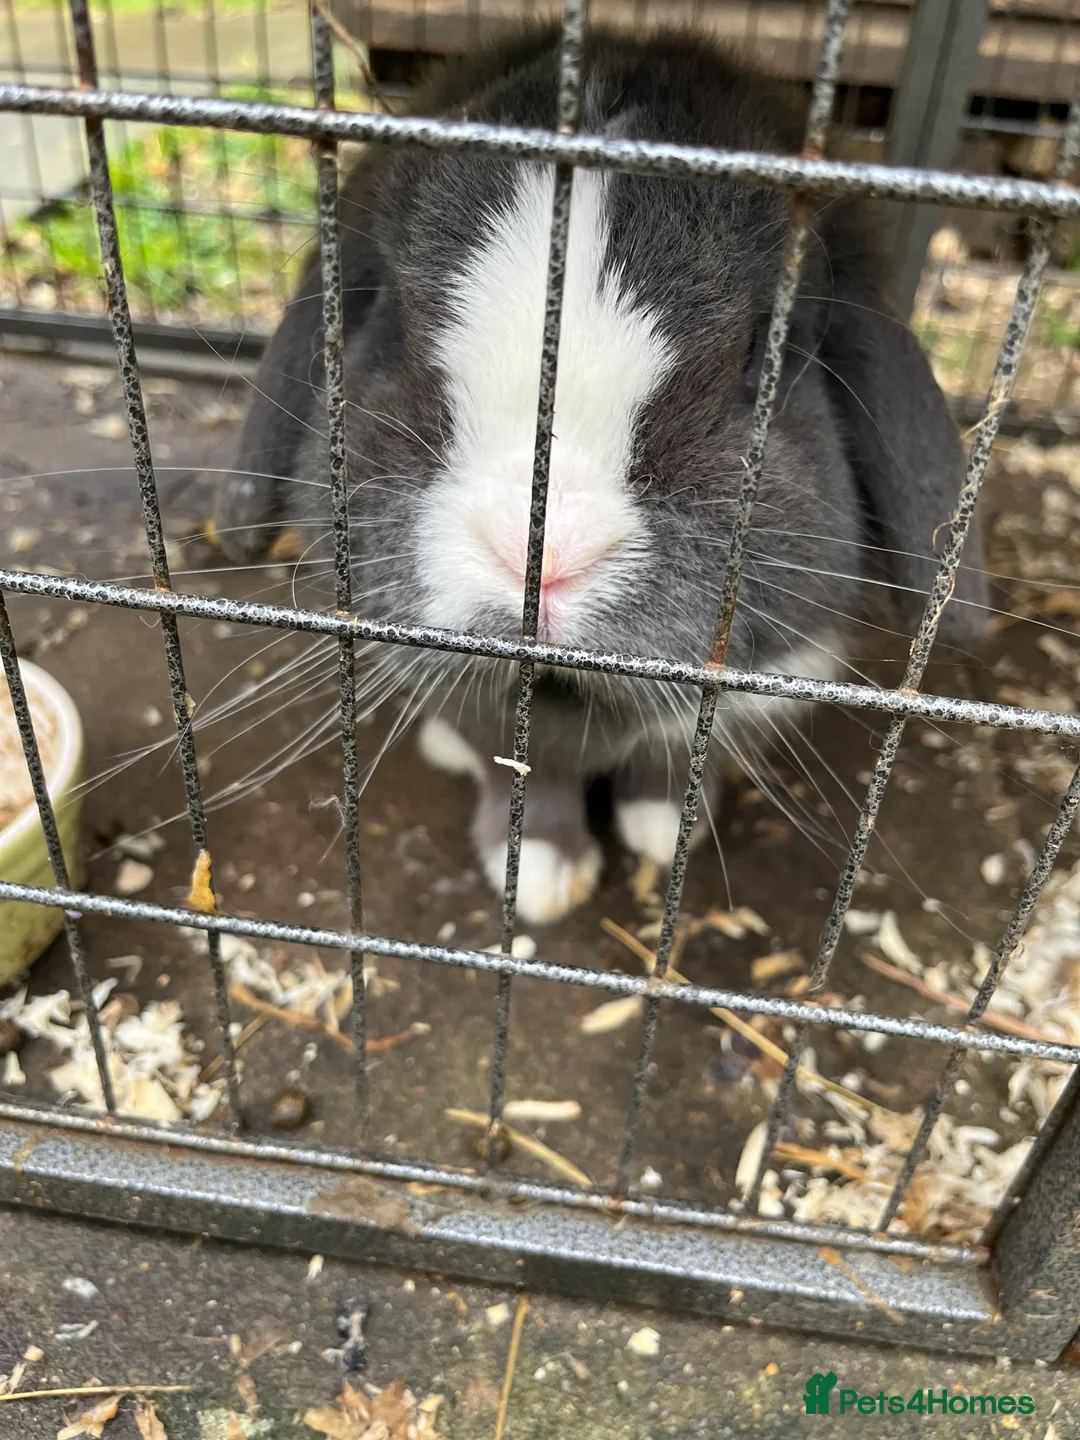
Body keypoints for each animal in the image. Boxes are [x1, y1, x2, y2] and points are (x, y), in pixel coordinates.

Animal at [214, 26, 987, 927]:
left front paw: (665, 831)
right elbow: (523, 774)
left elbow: (675, 759)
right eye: (395, 327)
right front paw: (543, 879)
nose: (539, 557)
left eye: (759, 359)